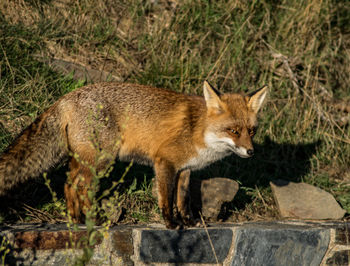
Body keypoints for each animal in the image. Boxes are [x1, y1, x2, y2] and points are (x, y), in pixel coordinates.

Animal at [0, 81, 268, 229]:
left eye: (252, 131)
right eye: (233, 131)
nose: (251, 151)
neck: (198, 129)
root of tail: (67, 97)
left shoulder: (185, 169)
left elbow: (183, 200)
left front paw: (190, 223)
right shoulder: (164, 163)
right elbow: (166, 199)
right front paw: (172, 225)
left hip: (83, 160)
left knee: (68, 185)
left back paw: (75, 220)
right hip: (101, 160)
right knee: (82, 187)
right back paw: (93, 221)